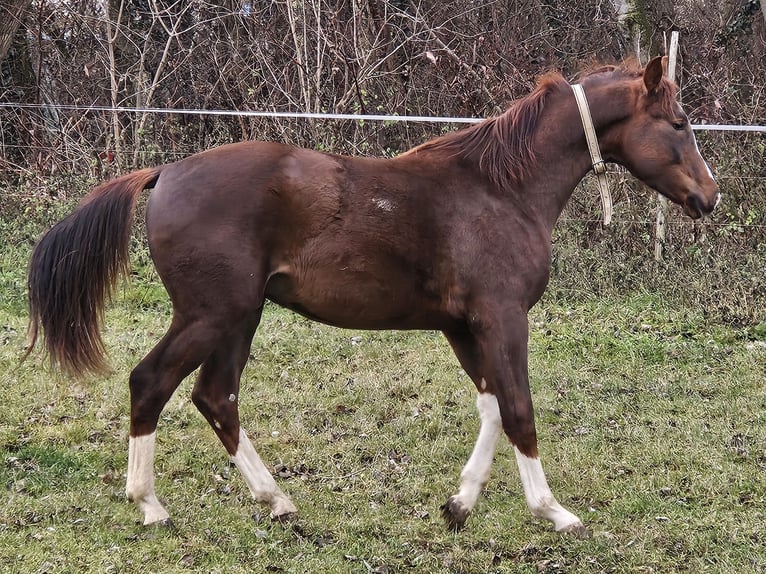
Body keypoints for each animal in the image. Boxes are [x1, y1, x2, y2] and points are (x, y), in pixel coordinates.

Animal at [24, 56, 720, 536]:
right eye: (680, 122)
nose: (709, 198)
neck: (499, 189)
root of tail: (165, 173)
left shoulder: (464, 326)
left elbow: (492, 407)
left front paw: (459, 503)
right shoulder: (501, 317)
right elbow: (519, 409)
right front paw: (554, 512)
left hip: (238, 318)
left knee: (215, 396)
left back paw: (277, 501)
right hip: (211, 315)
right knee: (152, 383)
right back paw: (150, 506)